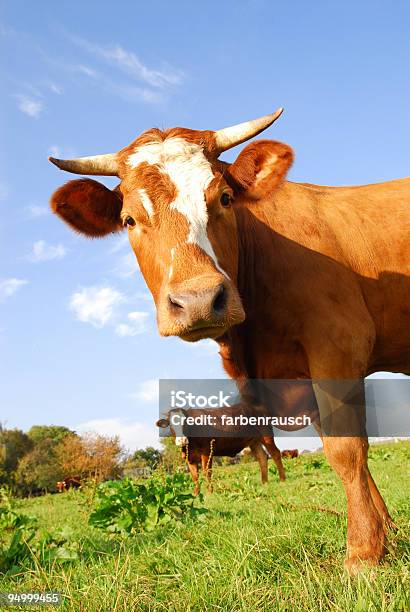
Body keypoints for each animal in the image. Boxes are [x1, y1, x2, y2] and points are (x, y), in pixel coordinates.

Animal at [47, 107, 406, 572]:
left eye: (224, 199)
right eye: (129, 220)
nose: (198, 300)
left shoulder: (337, 348)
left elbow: (347, 451)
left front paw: (363, 553)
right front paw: (388, 536)